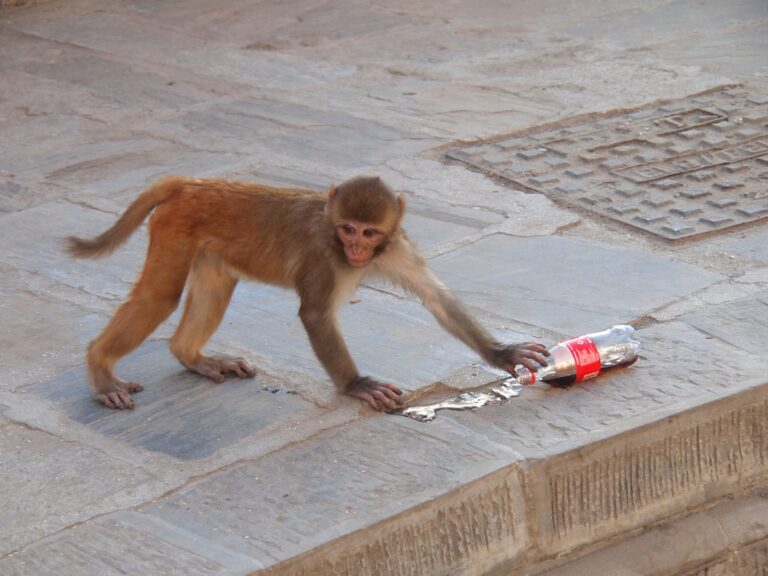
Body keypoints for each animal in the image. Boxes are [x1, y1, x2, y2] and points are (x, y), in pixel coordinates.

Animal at [67, 175, 549, 411]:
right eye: (347, 230)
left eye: (369, 232)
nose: (356, 250)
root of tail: (190, 183)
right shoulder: (322, 257)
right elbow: (315, 315)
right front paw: (356, 385)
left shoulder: (397, 246)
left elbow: (437, 298)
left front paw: (503, 353)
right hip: (174, 228)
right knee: (159, 297)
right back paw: (100, 368)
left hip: (203, 246)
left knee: (215, 283)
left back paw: (193, 356)